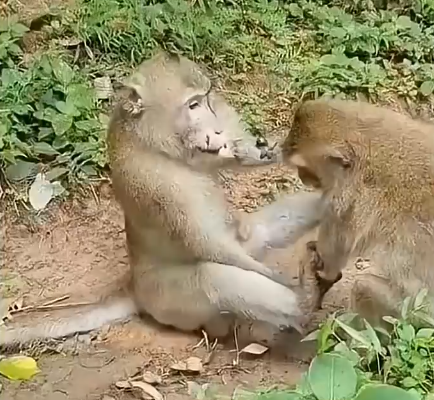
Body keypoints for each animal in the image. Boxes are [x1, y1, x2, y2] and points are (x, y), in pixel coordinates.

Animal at [0, 52, 324, 348]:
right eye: (192, 106)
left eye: (206, 100)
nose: (216, 129)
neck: (151, 141)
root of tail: (135, 288)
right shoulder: (162, 185)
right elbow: (206, 243)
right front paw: (280, 280)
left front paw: (259, 149)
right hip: (169, 300)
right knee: (214, 277)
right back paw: (303, 302)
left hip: (242, 244)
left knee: (262, 230)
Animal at [281, 97, 434, 327]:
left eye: (303, 166)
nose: (302, 177)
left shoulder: (345, 201)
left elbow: (331, 262)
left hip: (416, 316)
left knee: (364, 287)